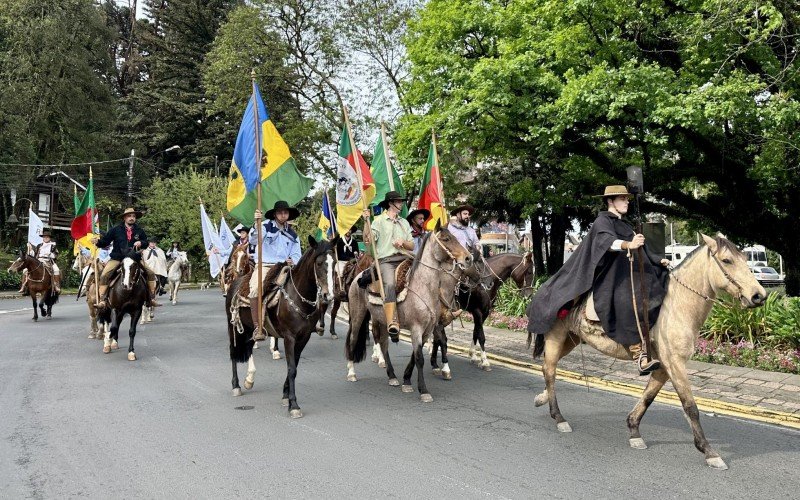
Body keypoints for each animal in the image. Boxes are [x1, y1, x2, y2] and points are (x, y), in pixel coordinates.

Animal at [225, 236, 338, 416]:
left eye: (334, 262)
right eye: (319, 263)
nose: (328, 295)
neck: (298, 297)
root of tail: (236, 282)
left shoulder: (303, 338)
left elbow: (294, 366)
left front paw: (286, 396)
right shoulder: (289, 338)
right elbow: (291, 369)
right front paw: (294, 404)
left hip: (249, 329)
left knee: (248, 349)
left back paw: (249, 379)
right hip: (233, 327)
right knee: (234, 351)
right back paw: (236, 385)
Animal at [342, 223, 468, 402]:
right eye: (446, 238)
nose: (468, 257)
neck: (423, 287)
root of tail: (357, 277)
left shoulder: (427, 330)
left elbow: (415, 356)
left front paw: (406, 380)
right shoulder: (416, 328)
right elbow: (419, 358)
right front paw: (423, 390)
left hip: (381, 320)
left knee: (383, 344)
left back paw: (392, 376)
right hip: (358, 316)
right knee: (353, 340)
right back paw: (351, 372)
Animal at [528, 234, 764, 468]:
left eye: (745, 258)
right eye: (726, 261)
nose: (758, 296)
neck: (678, 306)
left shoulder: (663, 366)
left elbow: (649, 396)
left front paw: (634, 431)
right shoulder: (675, 363)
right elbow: (690, 406)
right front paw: (709, 452)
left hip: (571, 340)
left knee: (546, 368)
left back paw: (542, 399)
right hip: (556, 337)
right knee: (550, 370)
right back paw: (559, 418)